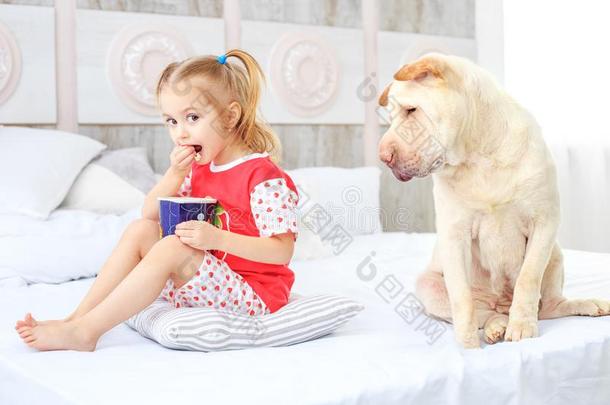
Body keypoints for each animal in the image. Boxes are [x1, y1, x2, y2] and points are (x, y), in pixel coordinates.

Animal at [378, 52, 604, 346]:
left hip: (555, 254)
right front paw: (467, 346)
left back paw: (589, 304)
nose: (383, 156)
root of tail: (501, 306)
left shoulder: (545, 221)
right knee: (483, 314)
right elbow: (462, 298)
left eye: (411, 110)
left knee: (551, 306)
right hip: (428, 284)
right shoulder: (454, 235)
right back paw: (496, 326)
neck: (478, 155)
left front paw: (522, 327)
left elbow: (528, 277)